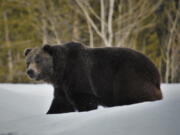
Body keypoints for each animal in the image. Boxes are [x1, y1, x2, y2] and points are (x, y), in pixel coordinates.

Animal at [24, 42, 163, 114]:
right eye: (28, 61)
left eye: (38, 60)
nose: (30, 71)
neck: (60, 71)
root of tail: (155, 71)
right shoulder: (61, 86)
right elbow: (60, 103)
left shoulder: (78, 74)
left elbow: (85, 98)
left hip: (128, 75)